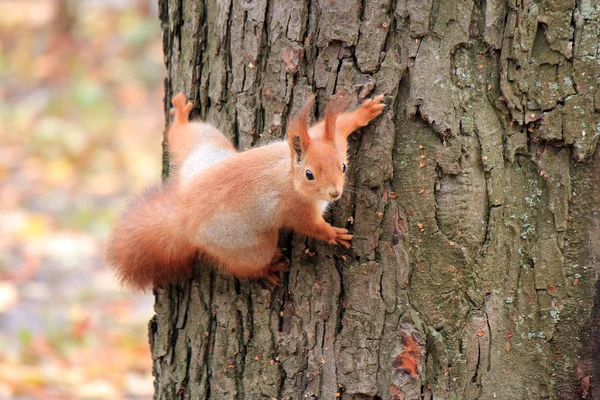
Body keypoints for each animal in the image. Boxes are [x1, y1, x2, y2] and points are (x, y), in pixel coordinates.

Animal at [106, 92, 384, 290]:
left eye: (343, 166)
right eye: (309, 174)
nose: (335, 193)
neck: (288, 174)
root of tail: (182, 218)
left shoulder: (331, 138)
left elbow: (341, 125)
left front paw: (365, 111)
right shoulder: (294, 209)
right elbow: (310, 227)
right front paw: (333, 234)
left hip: (205, 150)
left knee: (184, 136)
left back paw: (181, 116)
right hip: (248, 245)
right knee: (244, 267)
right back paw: (267, 270)